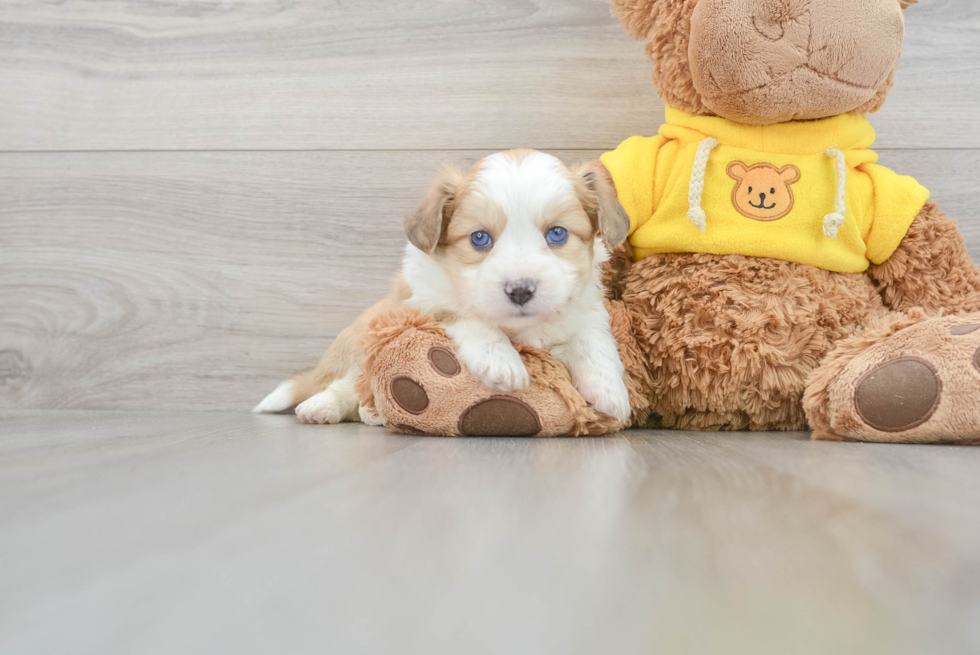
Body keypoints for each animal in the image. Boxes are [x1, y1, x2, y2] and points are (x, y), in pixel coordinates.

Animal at [253, 149, 632, 426]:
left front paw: (611, 391)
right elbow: (465, 315)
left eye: (557, 234)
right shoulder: (422, 300)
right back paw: (327, 407)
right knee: (348, 381)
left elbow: (593, 340)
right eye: (479, 238)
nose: (520, 290)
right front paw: (501, 361)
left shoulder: (586, 308)